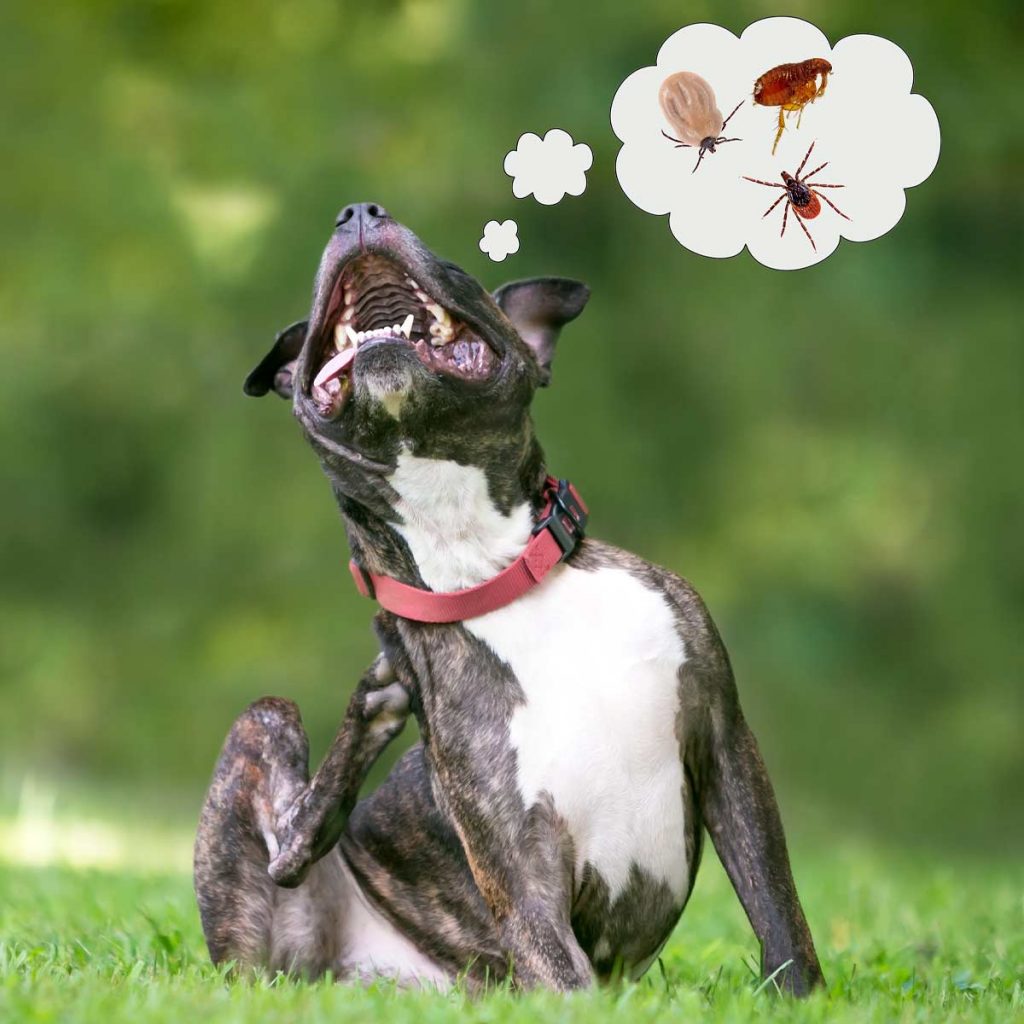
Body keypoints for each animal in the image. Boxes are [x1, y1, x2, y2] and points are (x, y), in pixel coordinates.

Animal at [195, 199, 827, 991]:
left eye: (457, 267)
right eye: (309, 328)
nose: (359, 210)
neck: (487, 571)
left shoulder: (726, 746)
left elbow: (780, 917)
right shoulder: (521, 874)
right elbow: (562, 971)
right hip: (265, 770)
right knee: (284, 850)